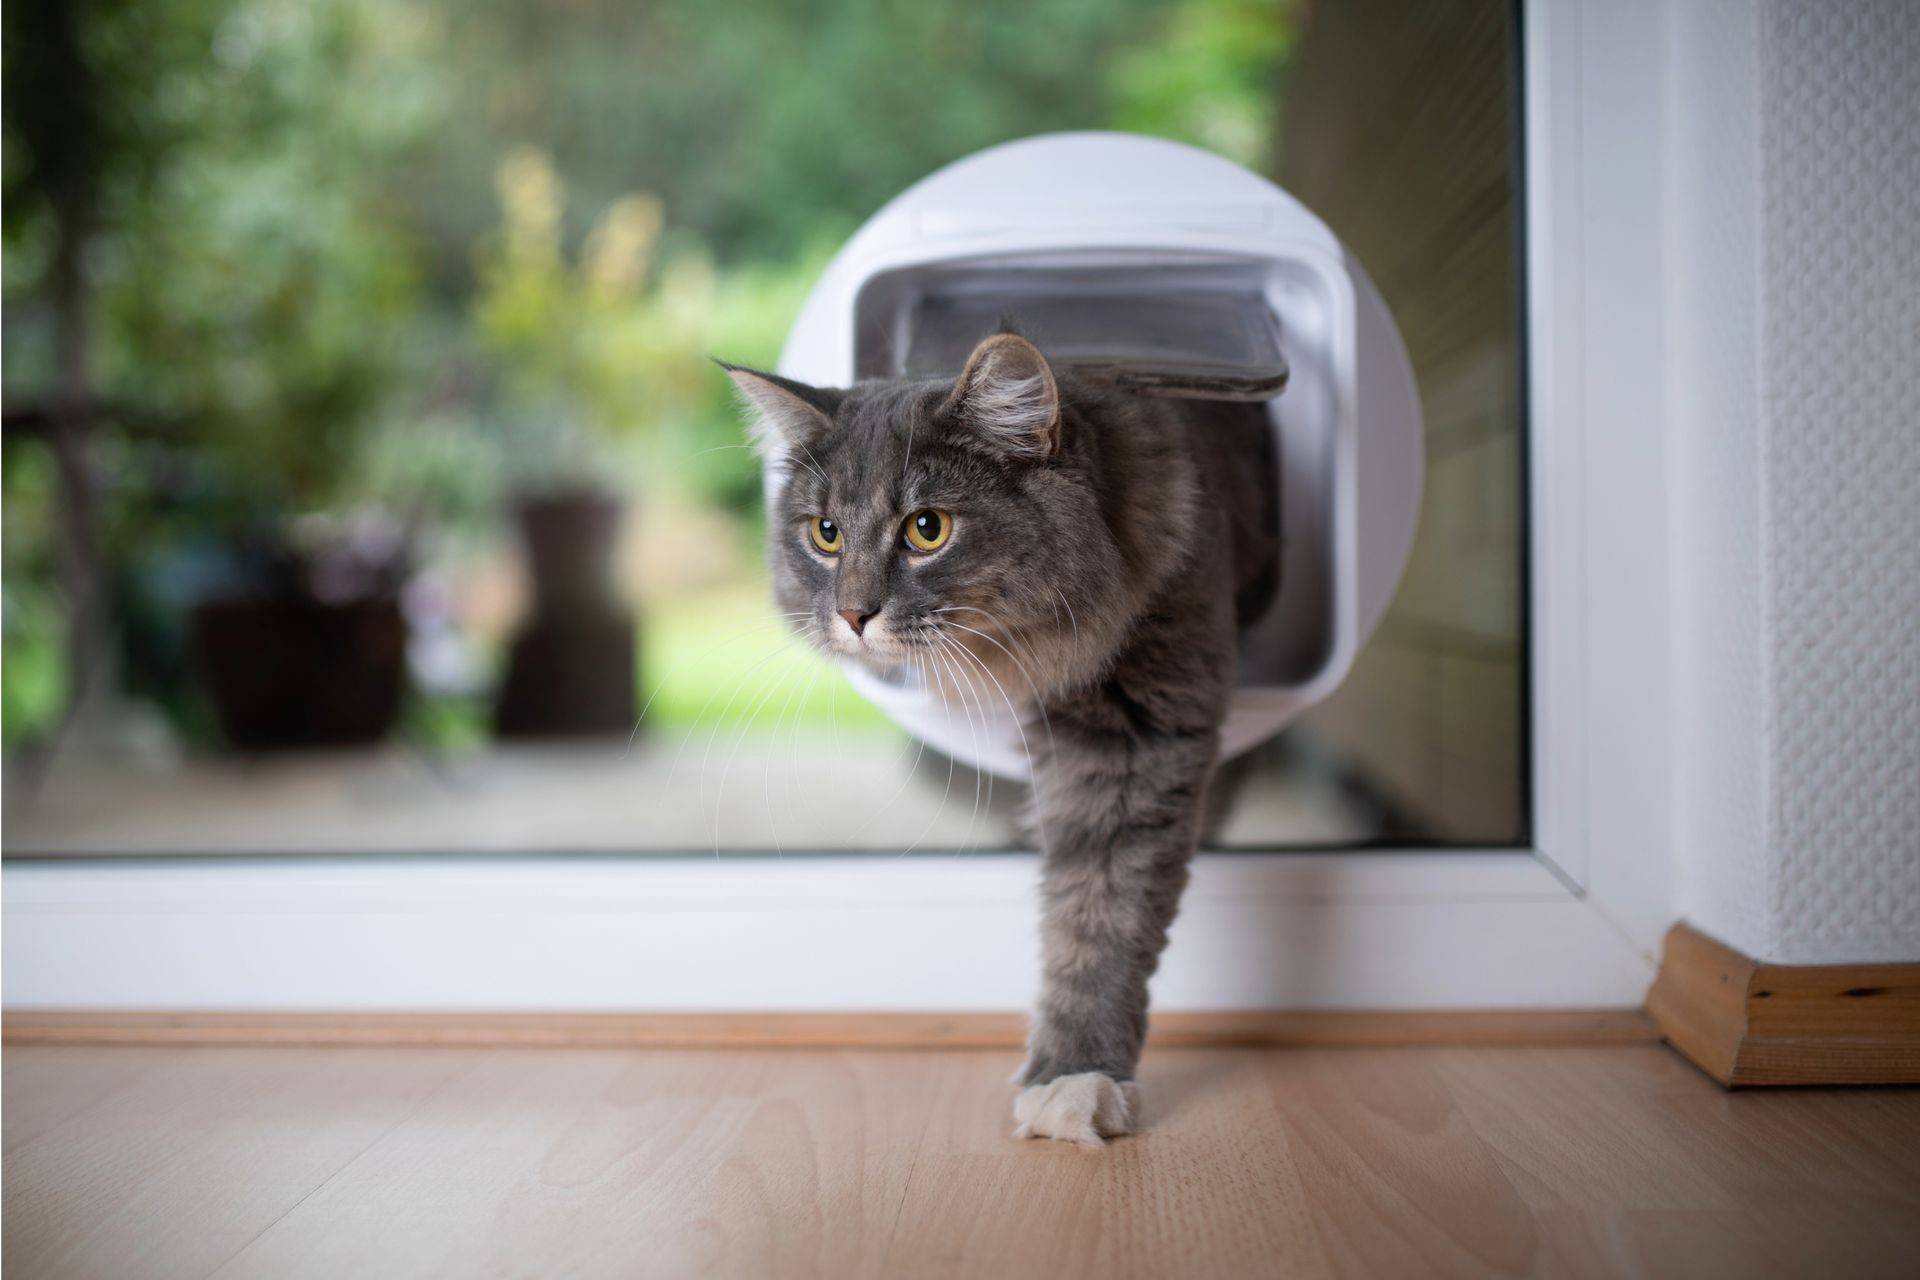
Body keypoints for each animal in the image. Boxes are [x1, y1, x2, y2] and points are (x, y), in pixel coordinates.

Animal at [725, 333, 1282, 1151]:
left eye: (927, 528)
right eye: (825, 534)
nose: (854, 615)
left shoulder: (1135, 742)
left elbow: (1099, 920)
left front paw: (1075, 1078)